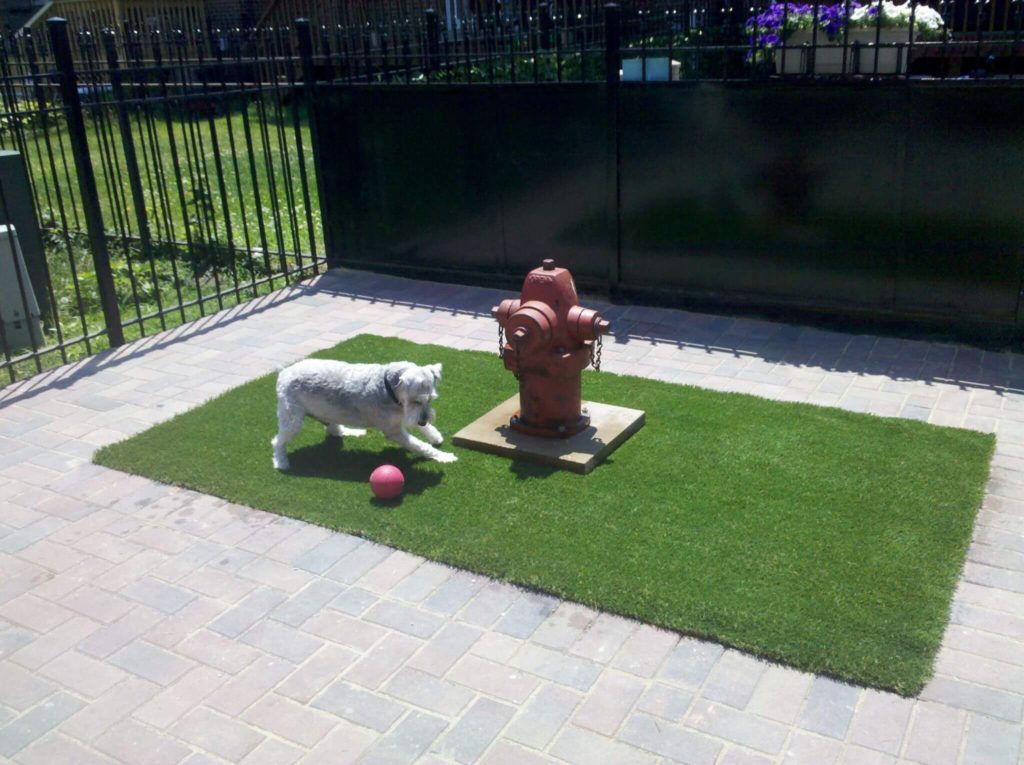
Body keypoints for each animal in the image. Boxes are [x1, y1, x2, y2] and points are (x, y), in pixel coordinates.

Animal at [272, 360, 456, 473]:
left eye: (431, 399)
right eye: (415, 401)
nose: (423, 421)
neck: (388, 387)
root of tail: (283, 372)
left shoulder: (403, 414)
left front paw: (434, 435)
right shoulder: (394, 431)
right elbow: (420, 446)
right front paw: (444, 456)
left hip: (329, 411)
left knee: (333, 430)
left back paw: (353, 432)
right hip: (292, 421)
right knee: (277, 442)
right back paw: (281, 462)